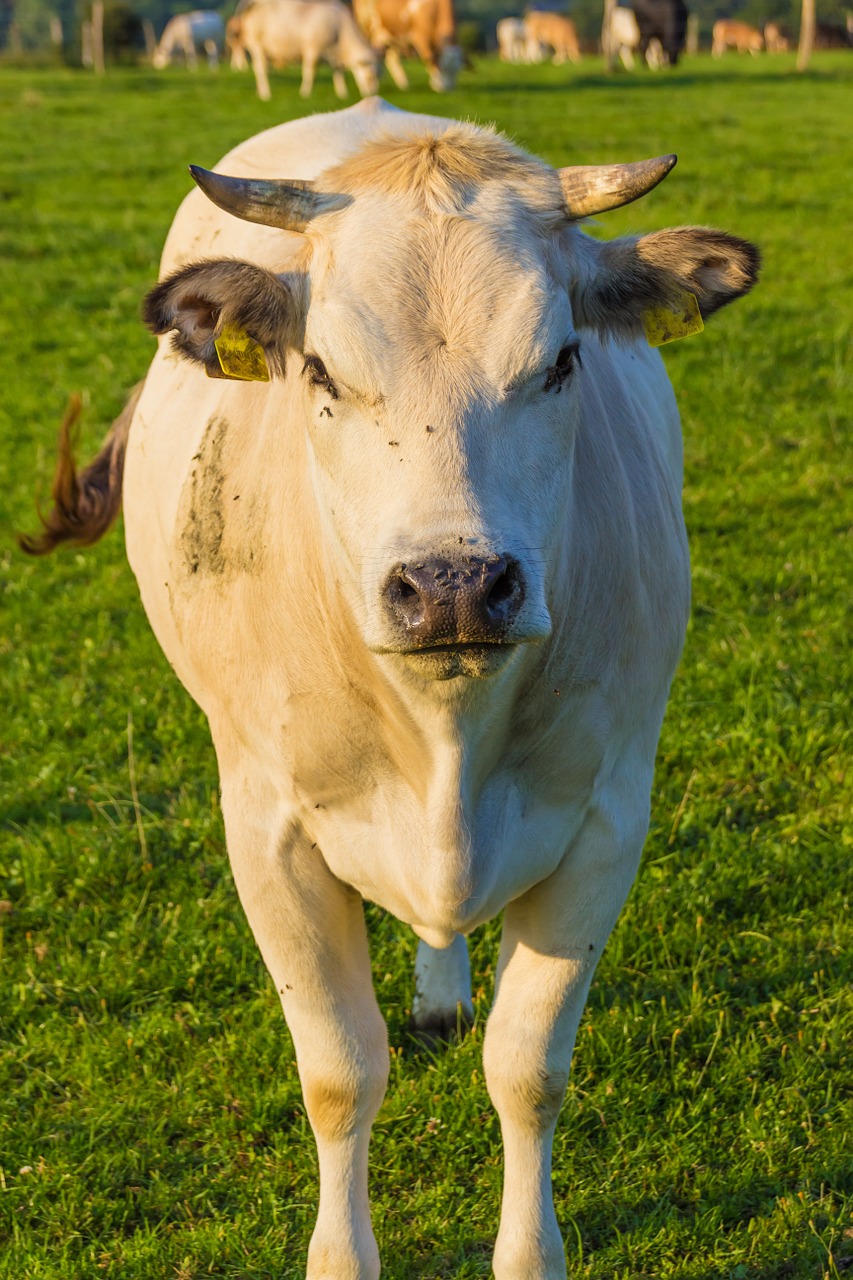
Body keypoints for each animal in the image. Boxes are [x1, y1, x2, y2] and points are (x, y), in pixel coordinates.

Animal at [24, 97, 758, 1280]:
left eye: (562, 361)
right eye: (321, 371)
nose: (452, 586)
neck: (447, 739)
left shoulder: (607, 819)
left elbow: (528, 1069)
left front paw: (527, 1251)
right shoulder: (267, 831)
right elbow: (338, 1071)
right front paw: (340, 1253)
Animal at [225, 0, 376, 101]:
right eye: (371, 75)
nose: (373, 92)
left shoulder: (333, 56)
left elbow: (338, 73)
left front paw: (342, 93)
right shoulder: (312, 49)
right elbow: (309, 72)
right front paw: (305, 93)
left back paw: (259, 91)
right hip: (257, 45)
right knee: (260, 69)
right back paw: (265, 94)